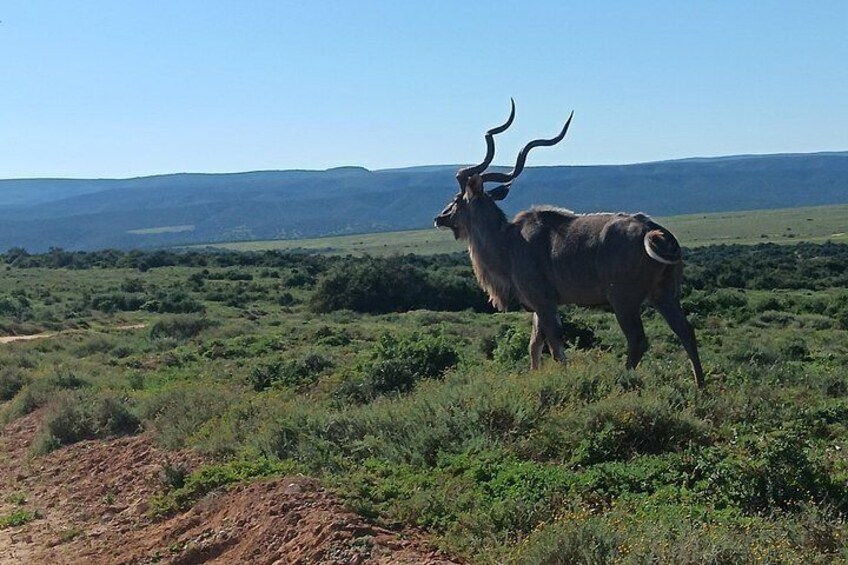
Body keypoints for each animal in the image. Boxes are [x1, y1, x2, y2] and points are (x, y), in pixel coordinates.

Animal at [434, 100, 705, 388]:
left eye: (457, 199)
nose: (439, 218)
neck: (509, 241)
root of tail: (656, 231)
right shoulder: (541, 306)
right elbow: (534, 345)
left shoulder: (544, 302)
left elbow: (555, 347)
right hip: (664, 295)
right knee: (686, 332)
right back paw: (700, 387)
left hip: (624, 300)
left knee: (638, 340)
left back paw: (623, 381)